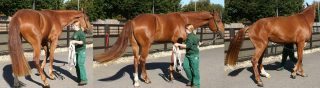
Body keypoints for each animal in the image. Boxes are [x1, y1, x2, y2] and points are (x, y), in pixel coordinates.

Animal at [94, 10, 225, 86]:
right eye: (218, 20)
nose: (223, 32)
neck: (184, 20)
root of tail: (133, 21)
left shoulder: (174, 42)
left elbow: (173, 58)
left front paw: (173, 74)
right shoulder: (178, 41)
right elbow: (176, 57)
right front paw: (176, 72)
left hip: (136, 46)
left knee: (136, 60)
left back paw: (136, 82)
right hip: (145, 46)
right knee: (142, 60)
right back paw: (146, 79)